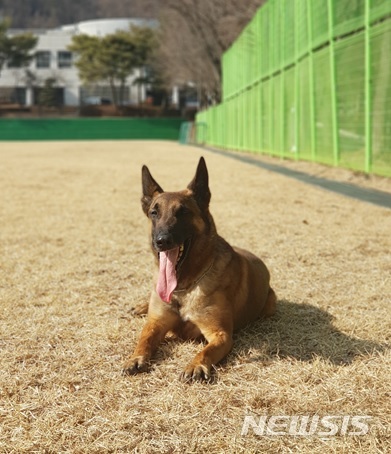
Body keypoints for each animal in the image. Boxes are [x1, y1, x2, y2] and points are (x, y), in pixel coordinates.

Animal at [122, 158, 276, 382]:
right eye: (154, 213)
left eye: (183, 212)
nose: (161, 241)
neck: (184, 287)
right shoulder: (156, 323)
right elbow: (145, 338)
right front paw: (135, 357)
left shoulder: (220, 334)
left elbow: (205, 351)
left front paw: (196, 365)